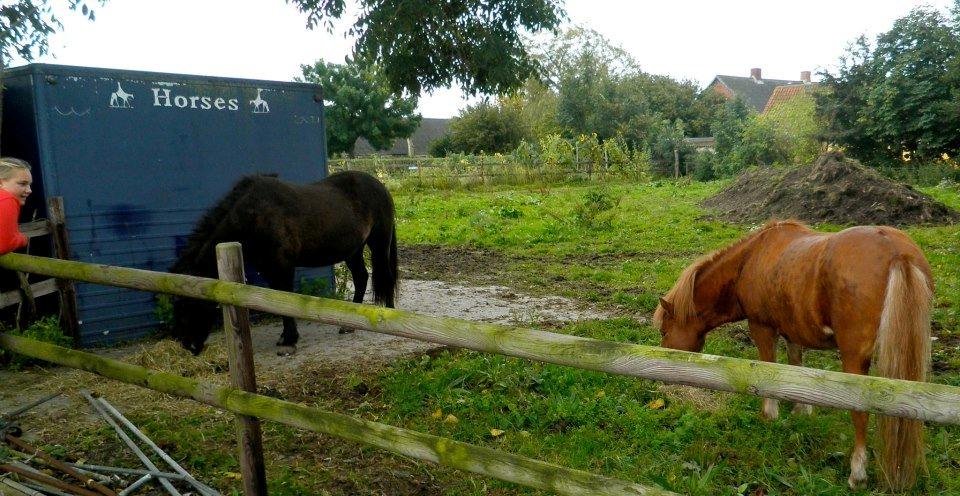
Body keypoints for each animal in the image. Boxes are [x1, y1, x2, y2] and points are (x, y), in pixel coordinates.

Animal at [169, 171, 398, 356]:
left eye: (187, 304)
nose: (187, 345)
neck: (254, 215)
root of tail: (380, 186)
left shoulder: (283, 265)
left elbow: (286, 296)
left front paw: (289, 341)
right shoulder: (268, 269)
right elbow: (276, 299)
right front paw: (285, 337)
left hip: (379, 242)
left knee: (385, 275)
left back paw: (390, 314)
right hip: (353, 250)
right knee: (361, 278)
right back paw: (350, 323)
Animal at [652, 222, 928, 492]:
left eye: (664, 331)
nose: (662, 376)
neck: (749, 259)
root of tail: (897, 252)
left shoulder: (762, 327)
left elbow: (767, 369)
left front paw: (770, 415)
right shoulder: (793, 330)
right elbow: (796, 369)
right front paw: (800, 410)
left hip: (855, 360)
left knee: (861, 411)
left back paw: (857, 474)